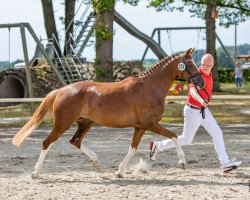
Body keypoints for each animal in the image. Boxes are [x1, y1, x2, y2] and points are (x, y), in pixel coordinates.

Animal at [12, 48, 204, 178]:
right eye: (188, 64)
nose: (201, 82)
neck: (150, 87)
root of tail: (61, 90)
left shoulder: (140, 127)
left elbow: (133, 148)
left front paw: (120, 171)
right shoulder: (150, 124)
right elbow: (173, 136)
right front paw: (182, 163)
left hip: (85, 123)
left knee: (75, 141)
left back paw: (97, 163)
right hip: (62, 124)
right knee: (47, 143)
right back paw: (35, 173)